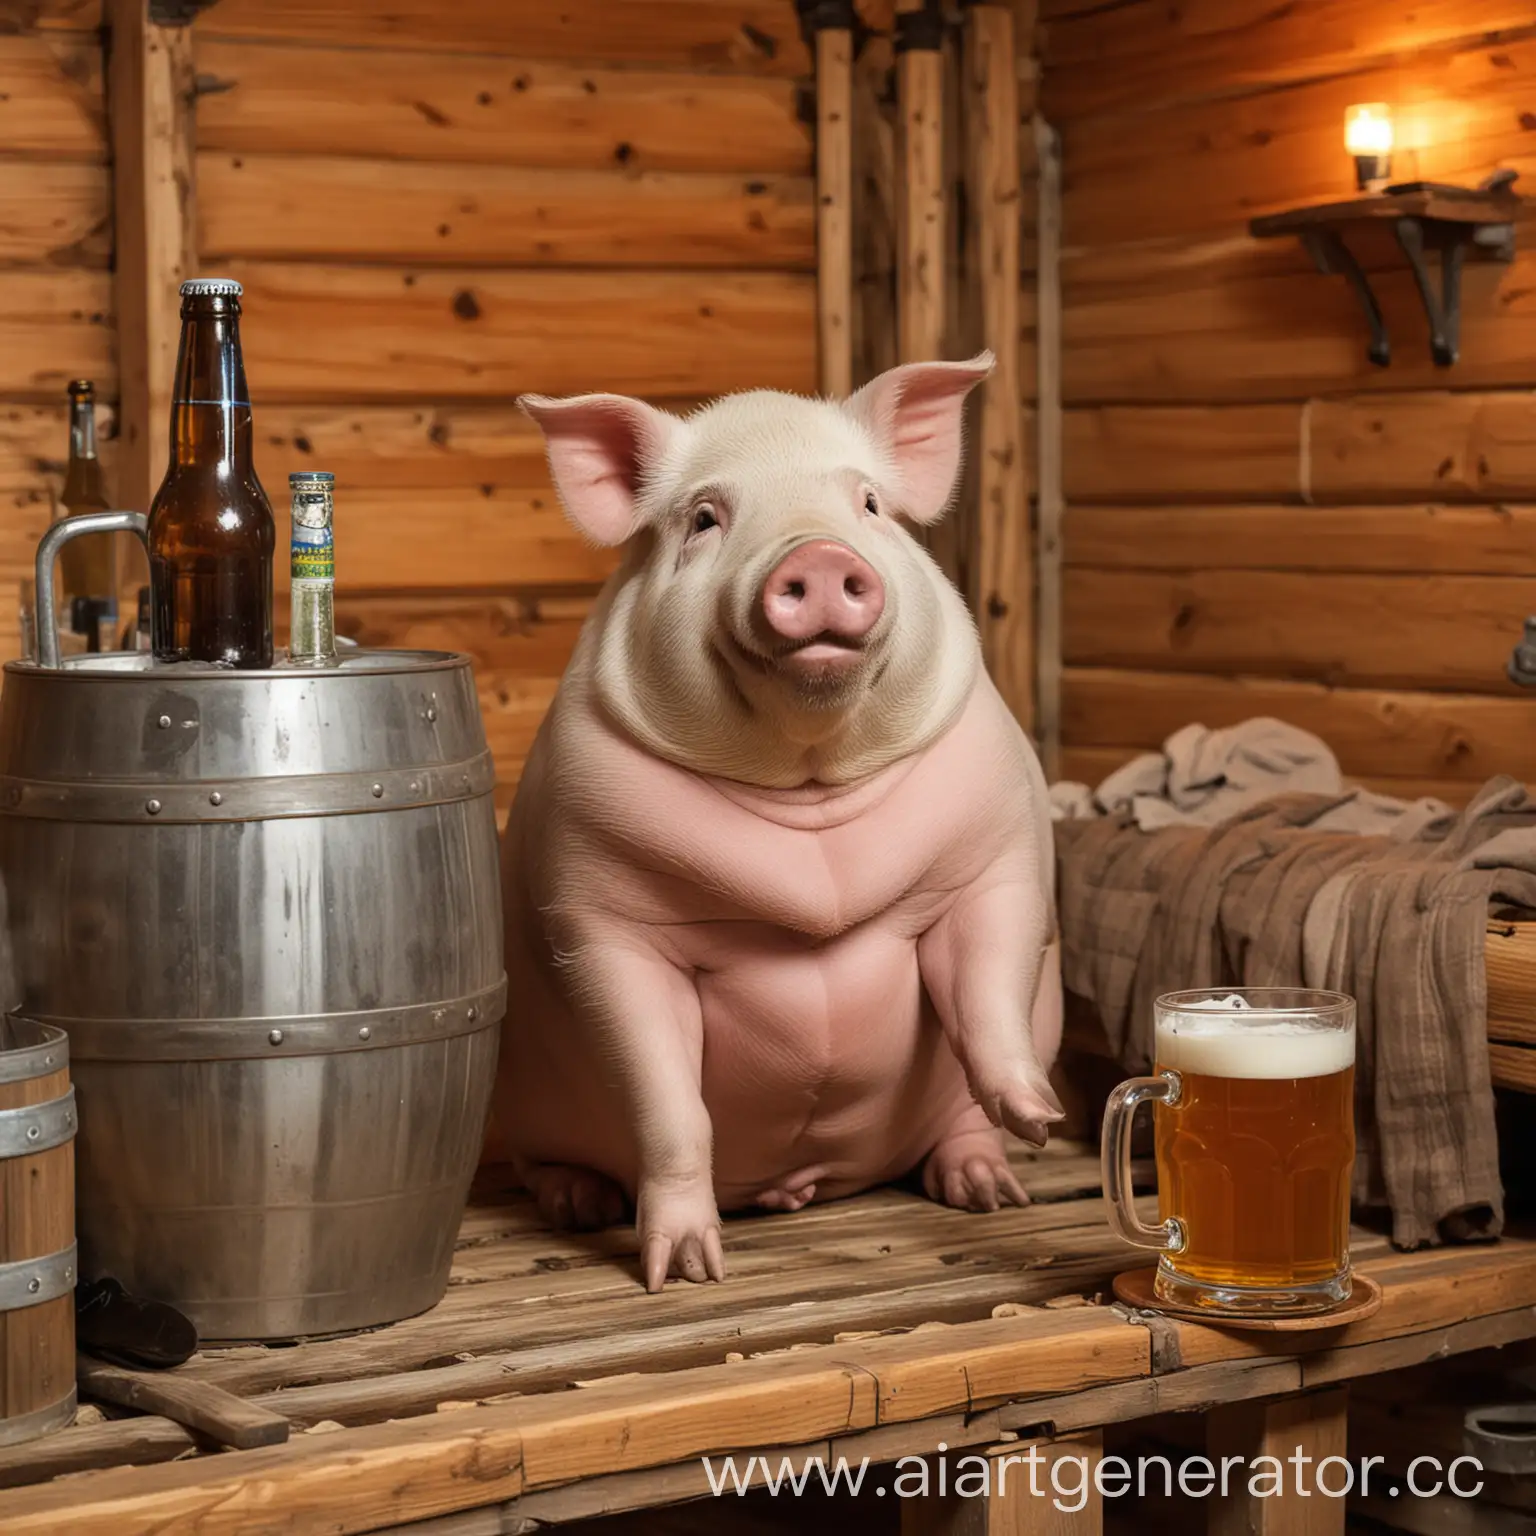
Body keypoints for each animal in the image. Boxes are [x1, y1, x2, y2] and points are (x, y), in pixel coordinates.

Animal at [485, 353, 1062, 1290]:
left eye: (869, 505)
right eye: (705, 518)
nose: (819, 556)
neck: (811, 804)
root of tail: (807, 1184)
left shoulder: (1000, 859)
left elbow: (988, 993)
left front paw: (1040, 1120)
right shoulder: (599, 921)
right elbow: (666, 1101)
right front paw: (686, 1273)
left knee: (957, 1129)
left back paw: (989, 1188)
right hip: (523, 1108)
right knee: (547, 1160)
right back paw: (581, 1203)